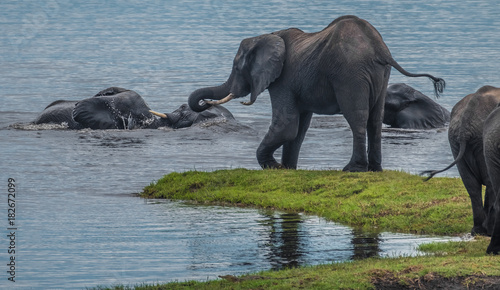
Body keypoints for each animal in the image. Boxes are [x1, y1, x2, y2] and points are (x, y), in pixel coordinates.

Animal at [188, 14, 446, 171]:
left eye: (235, 67)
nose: (204, 103)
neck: (267, 36)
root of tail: (379, 49)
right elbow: (299, 128)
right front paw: (288, 169)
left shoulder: (283, 79)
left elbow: (286, 125)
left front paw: (274, 167)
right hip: (381, 76)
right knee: (375, 118)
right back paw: (375, 170)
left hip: (349, 74)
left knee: (357, 118)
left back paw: (352, 169)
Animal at [422, 85, 500, 237]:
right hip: (480, 140)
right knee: (488, 183)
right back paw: (487, 232)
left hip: (455, 140)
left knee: (471, 185)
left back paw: (478, 231)